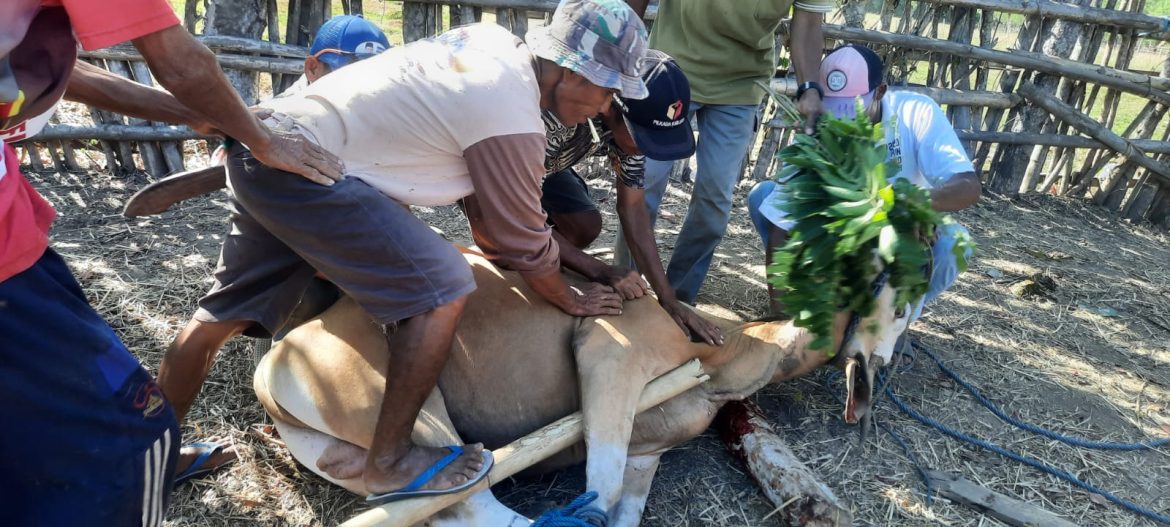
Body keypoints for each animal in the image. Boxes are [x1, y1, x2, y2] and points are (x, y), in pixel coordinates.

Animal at [253, 248, 903, 527]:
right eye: (892, 297)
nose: (880, 370)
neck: (727, 350)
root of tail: (280, 354)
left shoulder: (648, 452)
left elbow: (623, 507)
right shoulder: (609, 356)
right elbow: (601, 489)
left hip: (344, 454)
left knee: (443, 511)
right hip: (402, 405)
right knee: (473, 495)